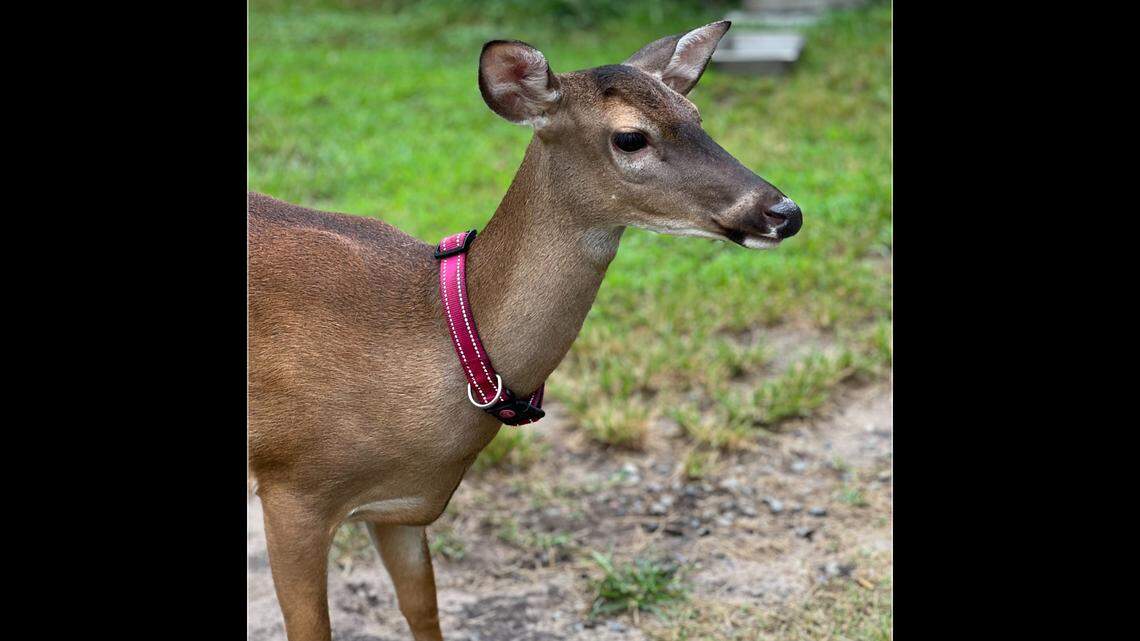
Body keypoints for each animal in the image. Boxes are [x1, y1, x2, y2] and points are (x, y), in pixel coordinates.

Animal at [248, 20, 802, 641]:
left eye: (696, 114)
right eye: (630, 138)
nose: (785, 212)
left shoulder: (401, 507)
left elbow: (423, 610)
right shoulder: (292, 487)